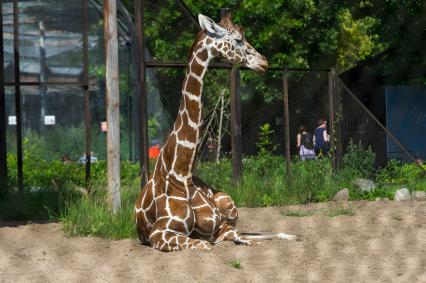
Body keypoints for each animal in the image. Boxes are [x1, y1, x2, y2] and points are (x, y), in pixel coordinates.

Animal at [135, 12, 294, 253]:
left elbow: (244, 238)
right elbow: (207, 245)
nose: (264, 63)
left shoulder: (219, 227)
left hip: (228, 201)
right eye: (239, 40)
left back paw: (289, 234)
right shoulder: (159, 233)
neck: (182, 171)